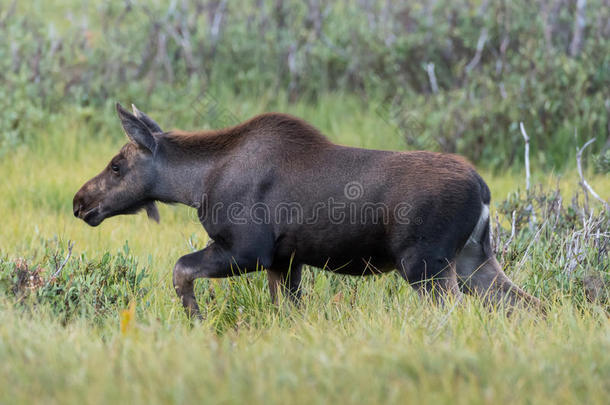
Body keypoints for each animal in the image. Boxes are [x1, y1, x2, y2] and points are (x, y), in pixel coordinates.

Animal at [73, 103, 540, 316]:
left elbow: (180, 270)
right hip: (474, 259)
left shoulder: (248, 250)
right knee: (528, 305)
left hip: (425, 263)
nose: (80, 202)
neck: (196, 185)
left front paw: (196, 319)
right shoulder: (285, 260)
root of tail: (483, 191)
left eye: (117, 166)